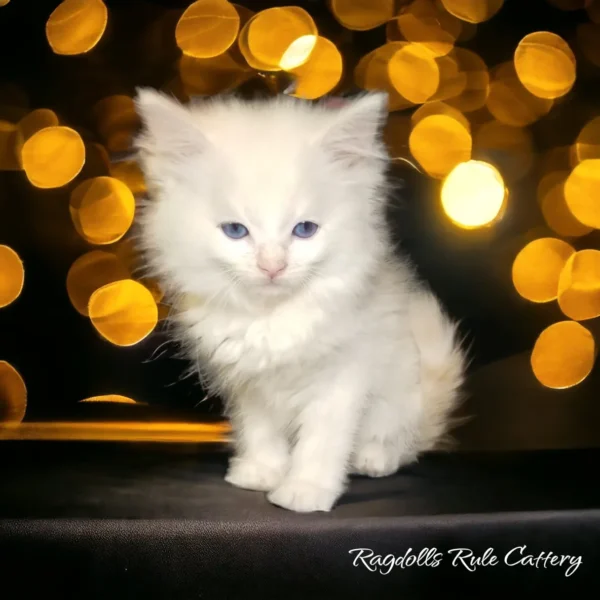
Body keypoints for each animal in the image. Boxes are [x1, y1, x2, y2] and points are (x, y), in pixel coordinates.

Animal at [134, 88, 466, 510]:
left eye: (304, 229)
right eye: (235, 231)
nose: (272, 266)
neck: (272, 317)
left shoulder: (343, 374)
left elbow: (322, 441)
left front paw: (305, 491)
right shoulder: (247, 380)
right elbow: (259, 430)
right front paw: (260, 472)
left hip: (405, 392)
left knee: (400, 441)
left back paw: (374, 458)